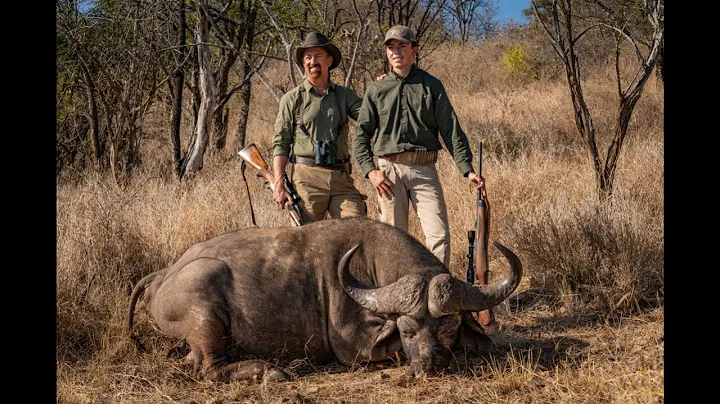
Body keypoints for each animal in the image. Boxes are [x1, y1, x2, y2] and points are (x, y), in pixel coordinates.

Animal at [128, 217, 522, 382]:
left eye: (449, 328)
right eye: (407, 330)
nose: (429, 366)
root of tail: (164, 274)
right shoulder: (355, 347)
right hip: (205, 308)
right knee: (209, 367)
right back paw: (268, 371)